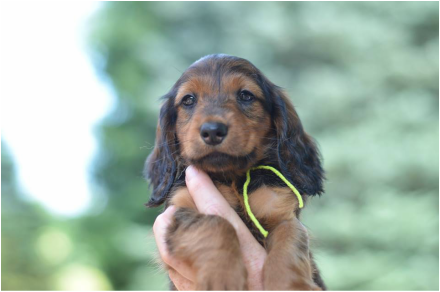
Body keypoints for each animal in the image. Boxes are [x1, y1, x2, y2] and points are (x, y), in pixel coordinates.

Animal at [146, 54, 324, 290]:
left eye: (246, 95)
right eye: (188, 100)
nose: (213, 131)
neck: (232, 178)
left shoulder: (282, 213)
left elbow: (288, 246)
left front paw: (290, 285)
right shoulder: (181, 209)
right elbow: (217, 223)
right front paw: (222, 277)